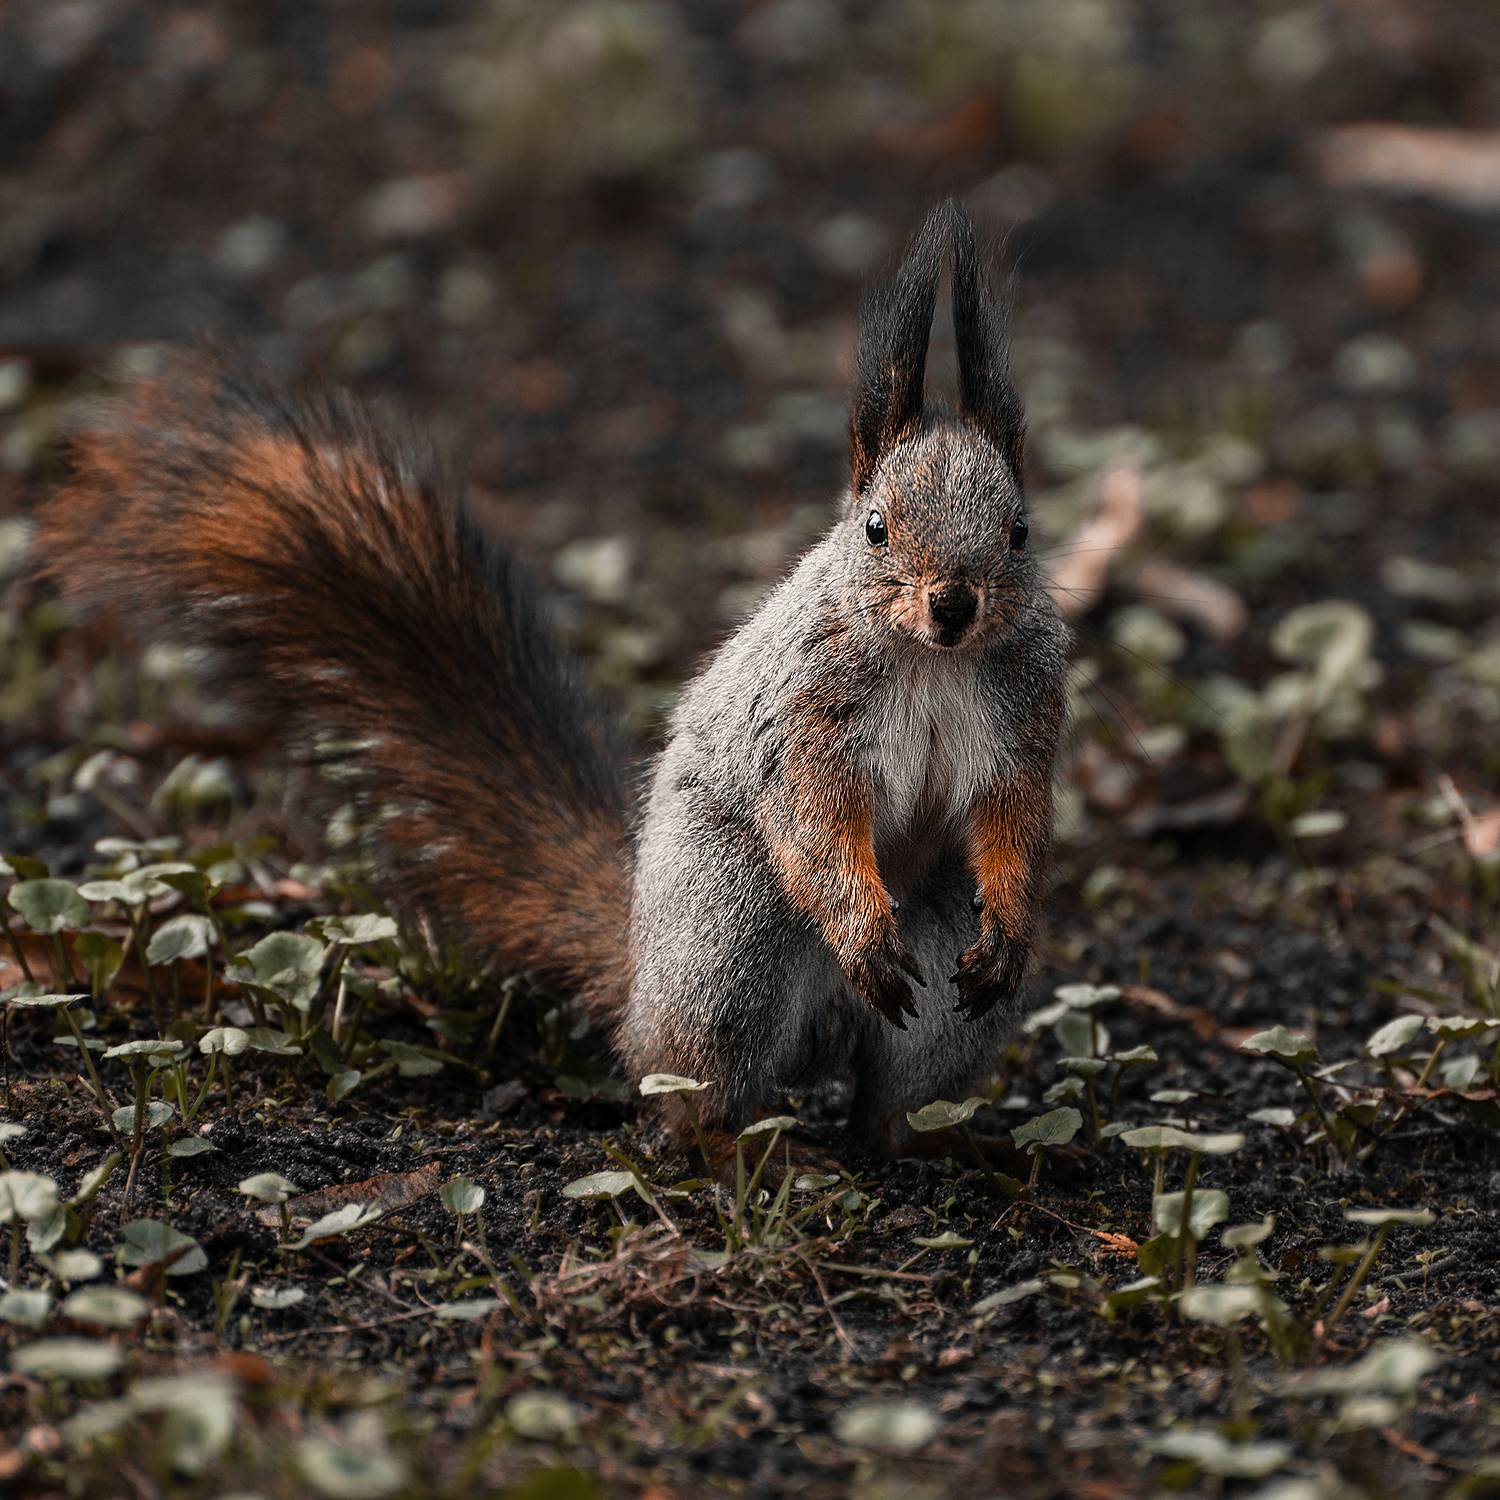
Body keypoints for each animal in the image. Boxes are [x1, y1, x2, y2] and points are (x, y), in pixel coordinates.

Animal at [34, 200, 1068, 1163]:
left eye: (1020, 530)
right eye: (875, 528)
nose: (953, 603)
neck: (930, 661)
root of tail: (640, 982)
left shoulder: (1026, 713)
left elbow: (1011, 813)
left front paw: (1012, 919)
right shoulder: (805, 717)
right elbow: (814, 821)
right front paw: (861, 932)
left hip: (938, 964)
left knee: (901, 1093)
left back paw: (951, 1143)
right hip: (731, 937)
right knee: (697, 1089)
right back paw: (747, 1149)